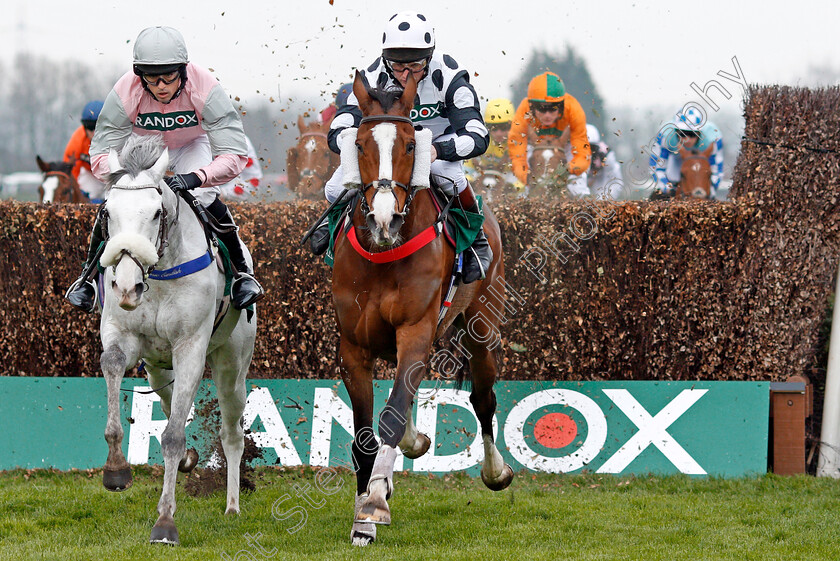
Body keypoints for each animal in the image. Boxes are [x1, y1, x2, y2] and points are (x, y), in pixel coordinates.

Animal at [97, 135, 258, 544]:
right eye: (108, 213)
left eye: (156, 213)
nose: (126, 286)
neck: (159, 274)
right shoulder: (121, 334)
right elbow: (112, 364)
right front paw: (116, 469)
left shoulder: (190, 349)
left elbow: (172, 438)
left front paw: (166, 522)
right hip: (156, 365)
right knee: (169, 401)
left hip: (231, 366)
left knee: (231, 433)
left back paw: (232, 505)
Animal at [330, 71, 512, 548]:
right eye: (360, 145)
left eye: (412, 145)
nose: (384, 219)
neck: (382, 255)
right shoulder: (353, 346)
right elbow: (366, 434)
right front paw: (363, 509)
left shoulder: (415, 329)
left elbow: (392, 415)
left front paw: (373, 506)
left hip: (482, 325)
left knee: (483, 398)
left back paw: (496, 471)